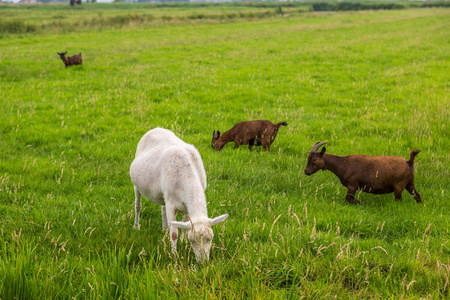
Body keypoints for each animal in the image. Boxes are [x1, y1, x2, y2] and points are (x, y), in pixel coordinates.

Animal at [129, 127, 229, 264]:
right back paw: (136, 226)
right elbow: (174, 233)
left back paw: (164, 230)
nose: (203, 263)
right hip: (137, 185)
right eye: (192, 240)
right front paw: (173, 254)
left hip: (163, 194)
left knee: (163, 209)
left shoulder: (185, 207)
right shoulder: (172, 204)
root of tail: (156, 128)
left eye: (211, 238)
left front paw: (182, 242)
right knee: (138, 206)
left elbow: (183, 225)